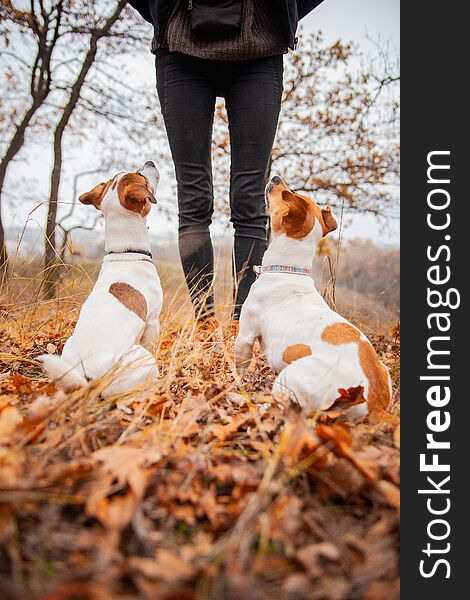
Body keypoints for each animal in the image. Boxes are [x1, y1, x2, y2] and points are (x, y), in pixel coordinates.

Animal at [40, 162, 165, 396]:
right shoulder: (152, 322)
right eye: (142, 176)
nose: (150, 162)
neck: (125, 252)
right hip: (142, 359)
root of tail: (90, 379)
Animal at [235, 173, 392, 418]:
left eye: (286, 194)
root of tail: (374, 404)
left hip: (292, 376)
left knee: (282, 407)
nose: (276, 176)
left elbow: (237, 370)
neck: (288, 270)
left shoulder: (245, 335)